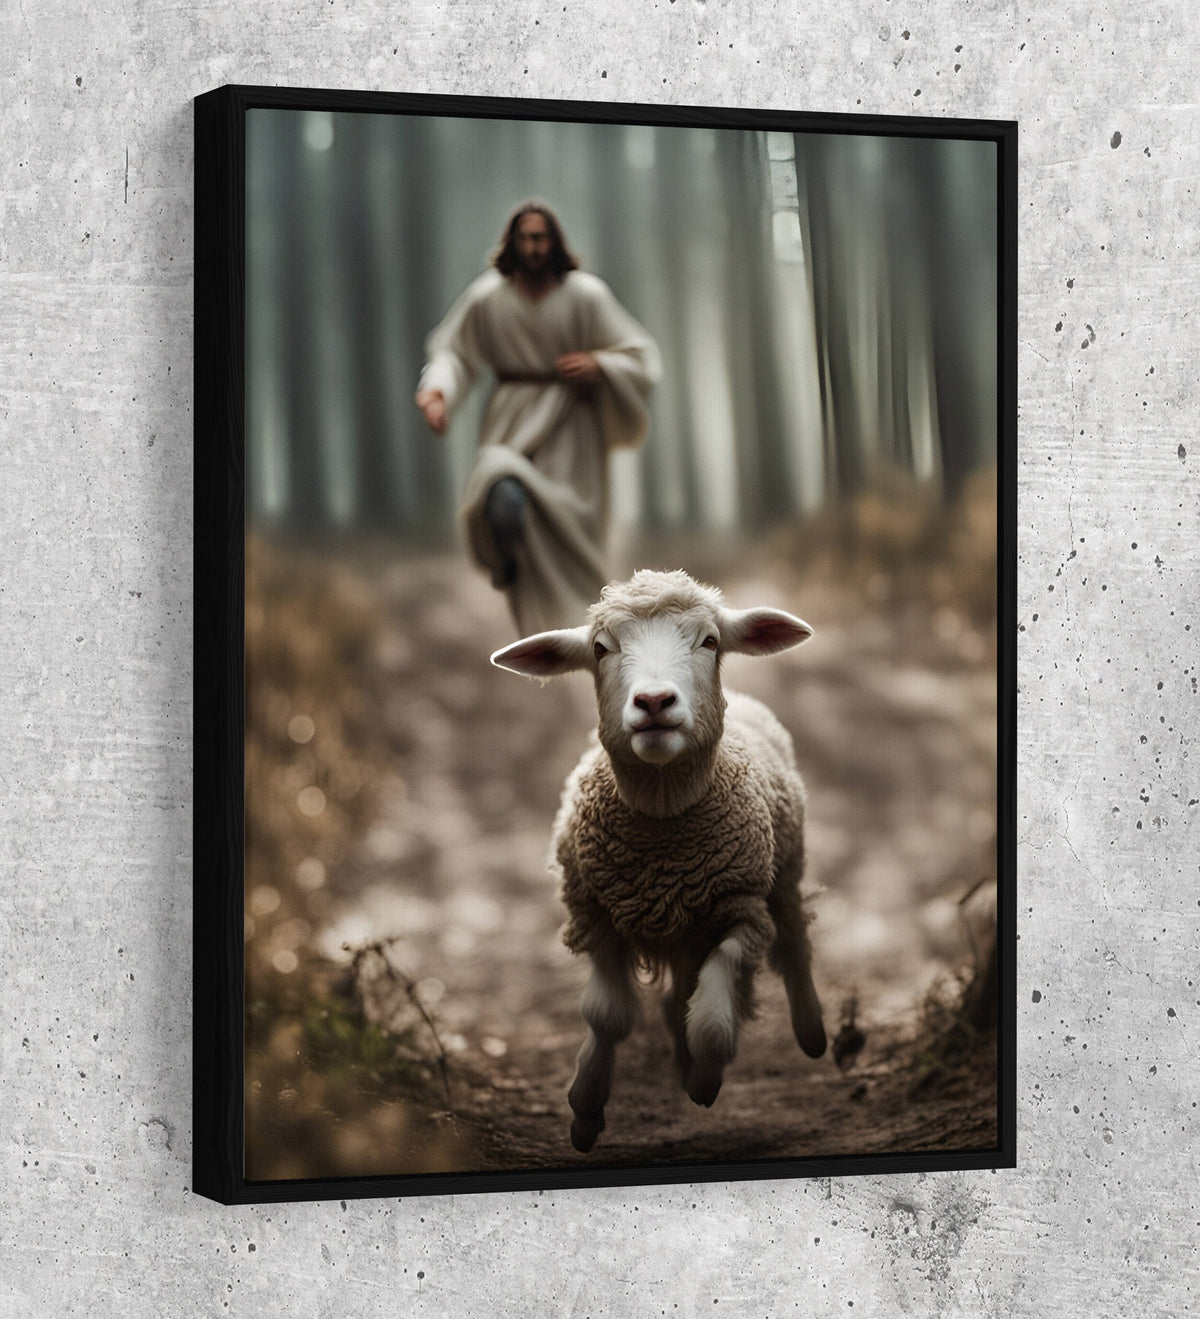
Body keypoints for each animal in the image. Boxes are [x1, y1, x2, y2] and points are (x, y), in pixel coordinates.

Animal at [491, 568, 827, 1153]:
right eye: (600, 649)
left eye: (710, 641)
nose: (653, 702)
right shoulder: (596, 917)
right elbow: (607, 1016)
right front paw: (586, 1111)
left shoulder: (741, 912)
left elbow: (712, 1024)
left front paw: (706, 1080)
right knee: (679, 996)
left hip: (784, 870)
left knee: (792, 939)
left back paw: (811, 1032)